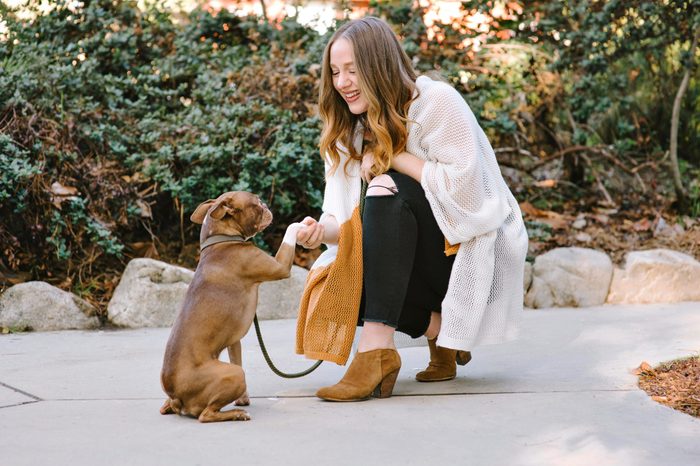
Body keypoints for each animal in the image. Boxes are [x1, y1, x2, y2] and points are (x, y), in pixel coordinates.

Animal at [159, 191, 300, 420]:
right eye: (256, 203)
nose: (266, 204)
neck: (221, 239)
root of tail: (176, 395)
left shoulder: (233, 341)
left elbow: (237, 357)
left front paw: (243, 398)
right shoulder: (280, 266)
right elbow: (291, 231)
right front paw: (303, 224)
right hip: (233, 375)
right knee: (206, 415)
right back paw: (236, 414)